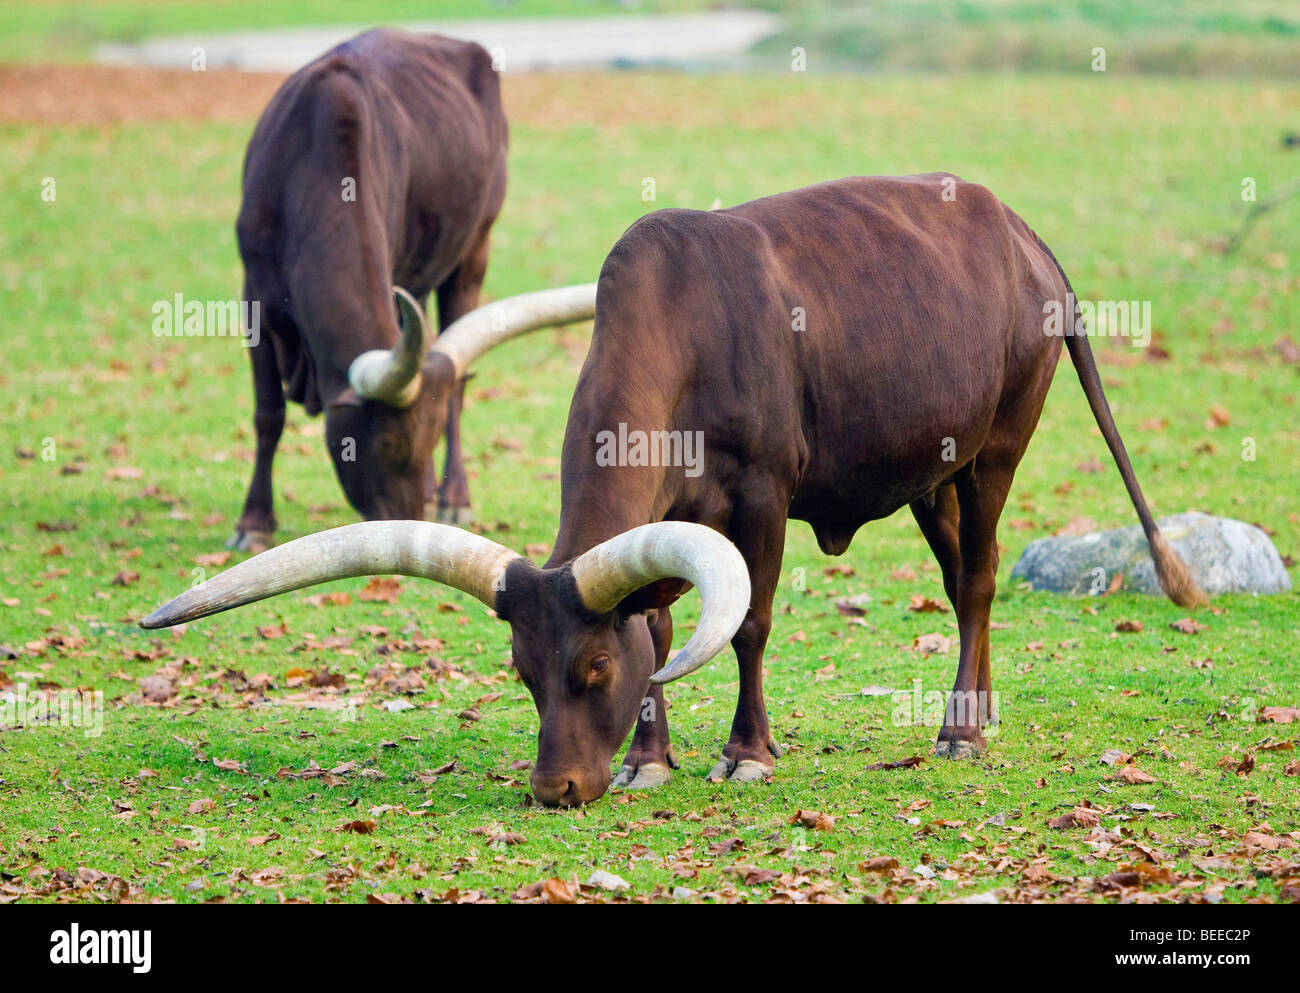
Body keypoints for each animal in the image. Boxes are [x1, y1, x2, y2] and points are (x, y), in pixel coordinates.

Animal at [137, 172, 1201, 805]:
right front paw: (649, 759)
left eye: (591, 670)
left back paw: (959, 733)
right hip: (928, 472)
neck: (684, 326)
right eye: (523, 673)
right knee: (957, 580)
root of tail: (1022, 235)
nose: (556, 790)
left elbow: (750, 625)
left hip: (995, 451)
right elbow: (660, 616)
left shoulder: (763, 499)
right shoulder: (672, 517)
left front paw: (748, 751)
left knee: (977, 582)